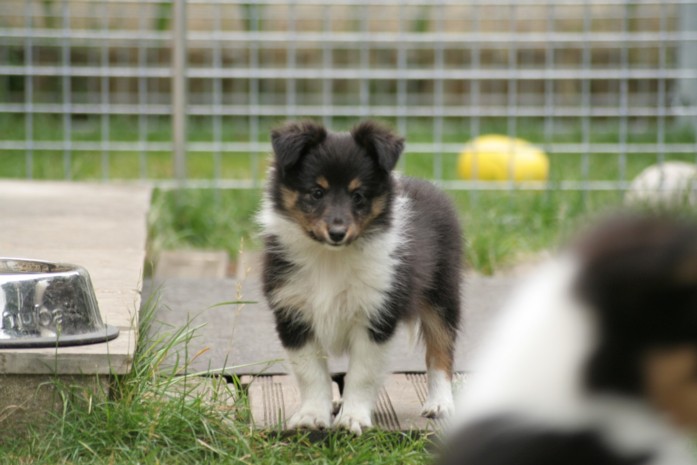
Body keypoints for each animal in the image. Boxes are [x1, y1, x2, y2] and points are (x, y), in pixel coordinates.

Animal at [256, 120, 462, 436]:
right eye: (317, 192)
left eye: (358, 196)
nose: (337, 233)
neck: (331, 257)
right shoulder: (292, 312)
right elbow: (310, 372)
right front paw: (312, 416)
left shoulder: (376, 315)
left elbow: (362, 374)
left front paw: (353, 418)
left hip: (442, 293)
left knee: (441, 350)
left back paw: (440, 404)